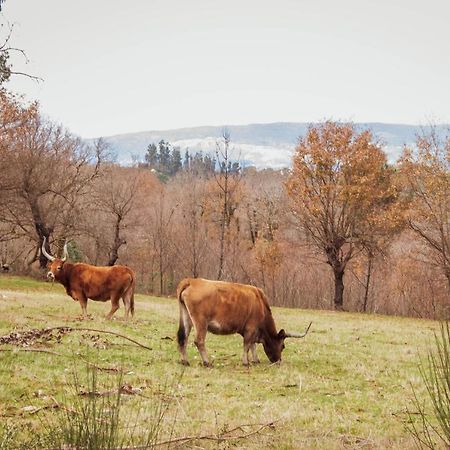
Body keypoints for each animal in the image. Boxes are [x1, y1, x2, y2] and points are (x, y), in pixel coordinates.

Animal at [176, 278, 310, 366]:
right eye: (283, 346)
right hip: (201, 322)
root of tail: (192, 281)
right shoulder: (251, 327)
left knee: (183, 338)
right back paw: (207, 362)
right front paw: (246, 362)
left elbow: (252, 344)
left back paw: (185, 361)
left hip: (186, 318)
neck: (260, 302)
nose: (278, 361)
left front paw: (255, 360)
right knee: (199, 341)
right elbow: (247, 344)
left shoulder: (252, 330)